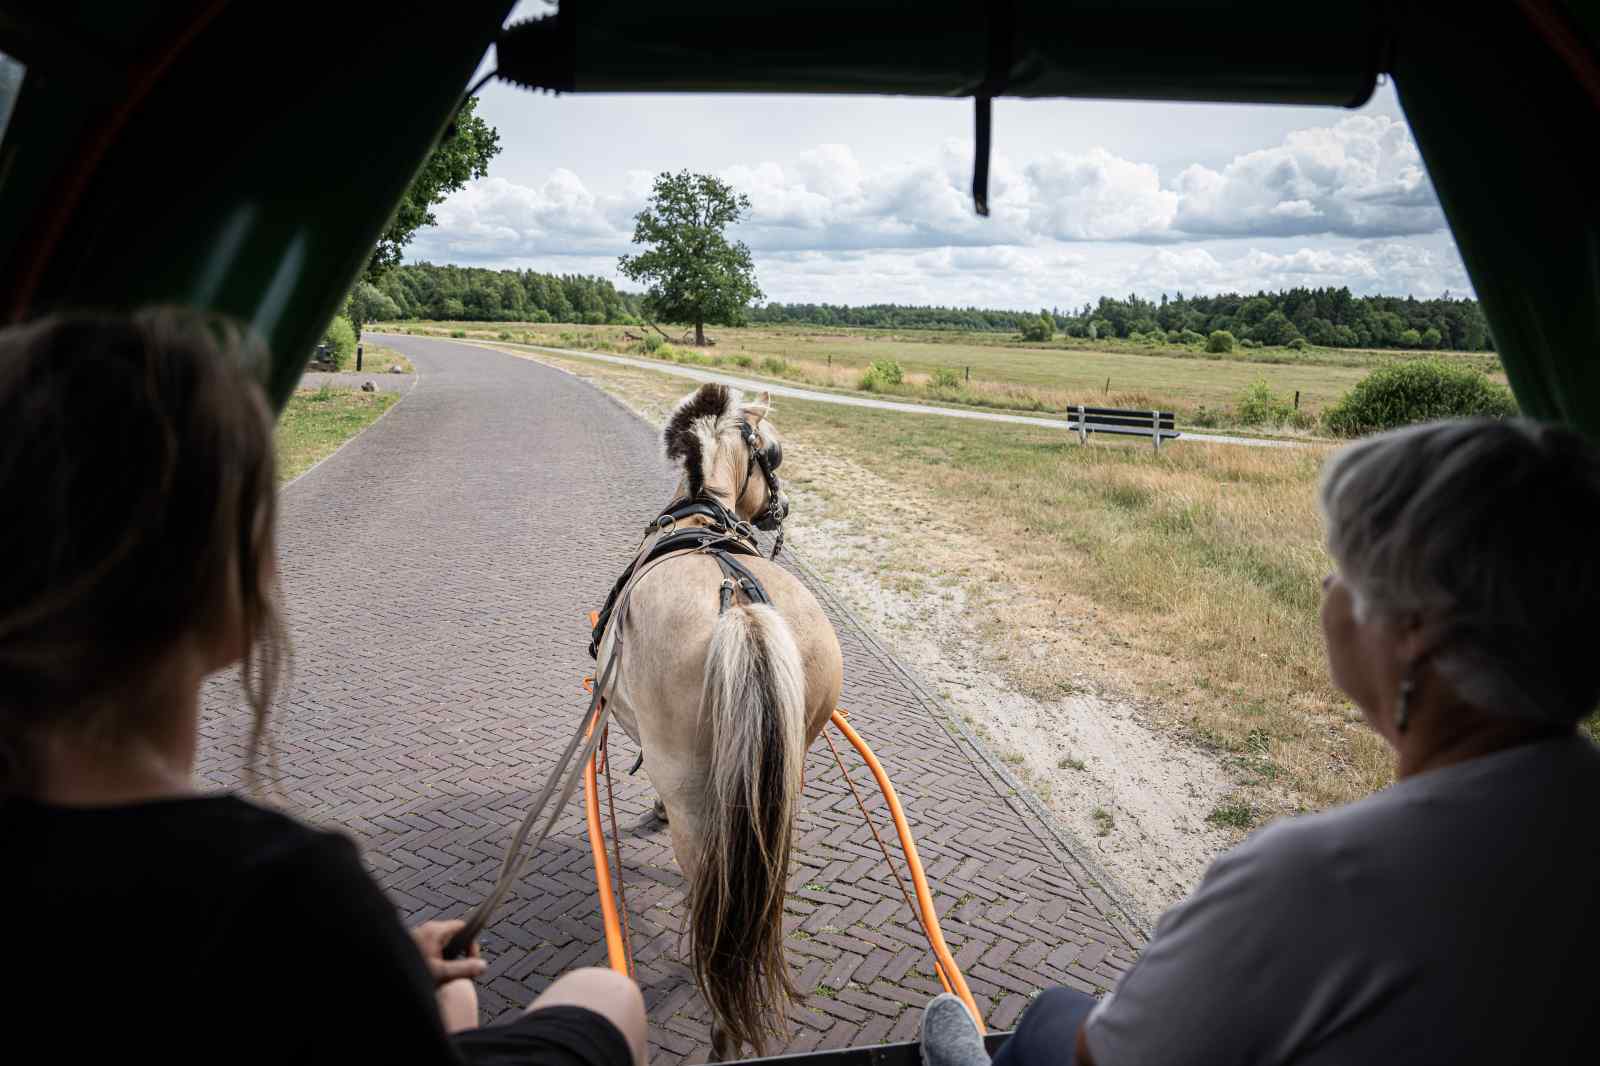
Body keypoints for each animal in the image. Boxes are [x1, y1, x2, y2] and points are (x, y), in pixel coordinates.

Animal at [598, 382, 851, 1056]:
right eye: (777, 453)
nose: (781, 509)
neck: (702, 514)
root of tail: (739, 605)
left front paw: (652, 810)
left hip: (693, 786)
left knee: (710, 883)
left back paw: (720, 1026)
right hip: (785, 772)